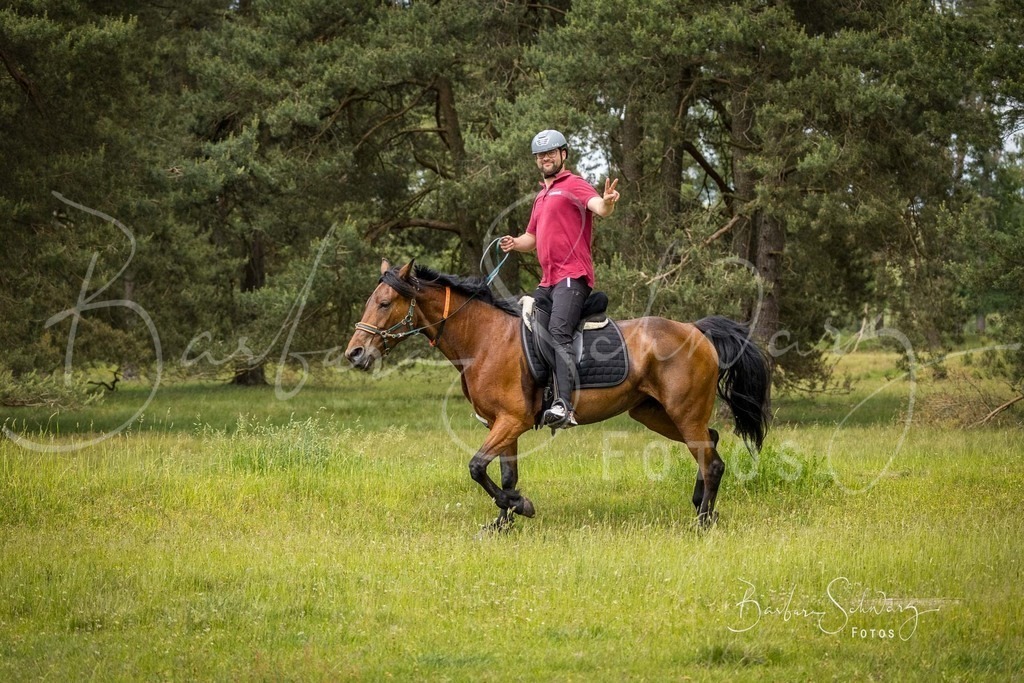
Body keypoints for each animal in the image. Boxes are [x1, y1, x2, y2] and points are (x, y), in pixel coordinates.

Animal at [345, 259, 772, 530]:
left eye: (384, 303)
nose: (355, 354)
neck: (484, 339)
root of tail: (697, 330)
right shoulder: (503, 424)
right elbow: (506, 474)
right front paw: (502, 523)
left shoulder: (511, 421)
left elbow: (477, 467)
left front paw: (521, 507)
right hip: (653, 413)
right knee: (710, 445)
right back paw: (703, 508)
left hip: (683, 411)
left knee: (710, 461)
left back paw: (702, 523)